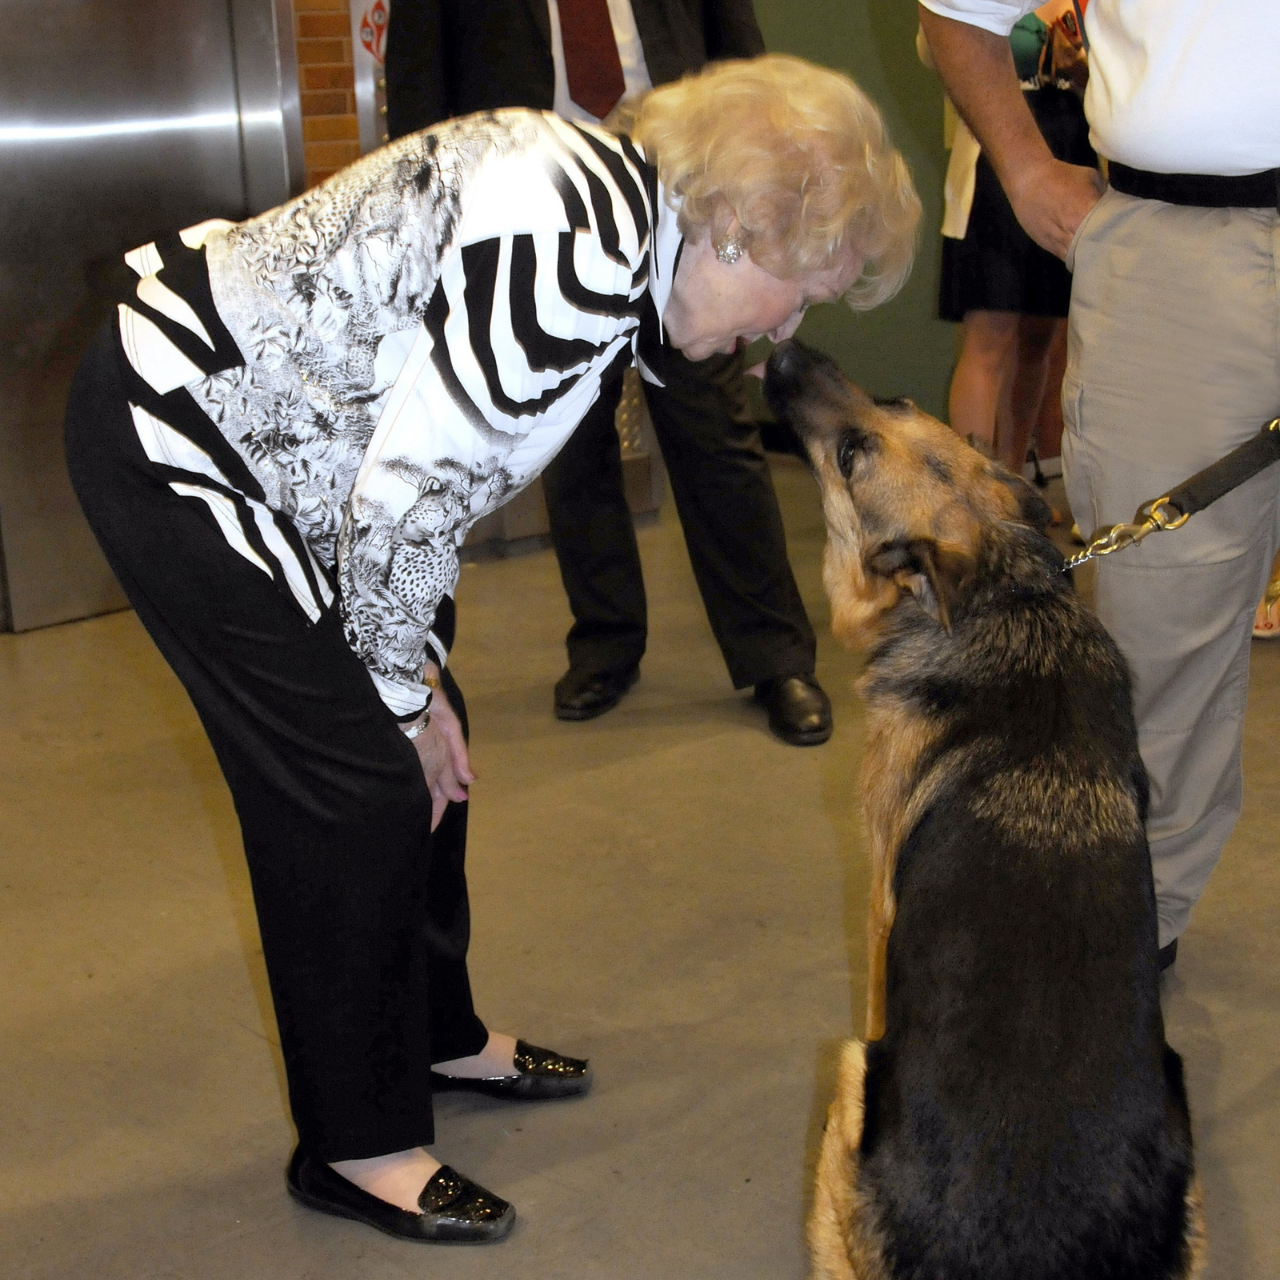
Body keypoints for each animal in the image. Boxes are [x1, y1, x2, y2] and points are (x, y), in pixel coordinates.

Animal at [762, 340, 1203, 1280]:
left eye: (852, 453)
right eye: (892, 397)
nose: (784, 350)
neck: (1008, 595)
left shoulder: (881, 918)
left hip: (849, 1079)